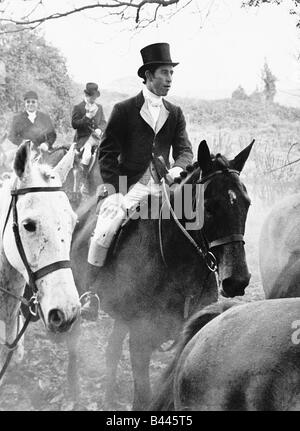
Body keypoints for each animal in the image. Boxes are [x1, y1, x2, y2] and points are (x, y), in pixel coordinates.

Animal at [70, 140, 253, 410]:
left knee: (112, 351)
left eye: (246, 203)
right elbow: (143, 398)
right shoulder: (140, 340)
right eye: (208, 207)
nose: (237, 280)